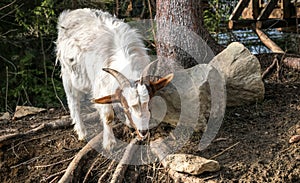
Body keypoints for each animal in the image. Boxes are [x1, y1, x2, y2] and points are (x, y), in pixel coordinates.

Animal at [55, 8, 173, 150]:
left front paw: (128, 123)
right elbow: (108, 116)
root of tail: (70, 13)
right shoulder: (101, 87)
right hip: (67, 73)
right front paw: (109, 143)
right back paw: (81, 132)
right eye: (128, 107)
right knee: (73, 102)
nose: (143, 131)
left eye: (148, 104)